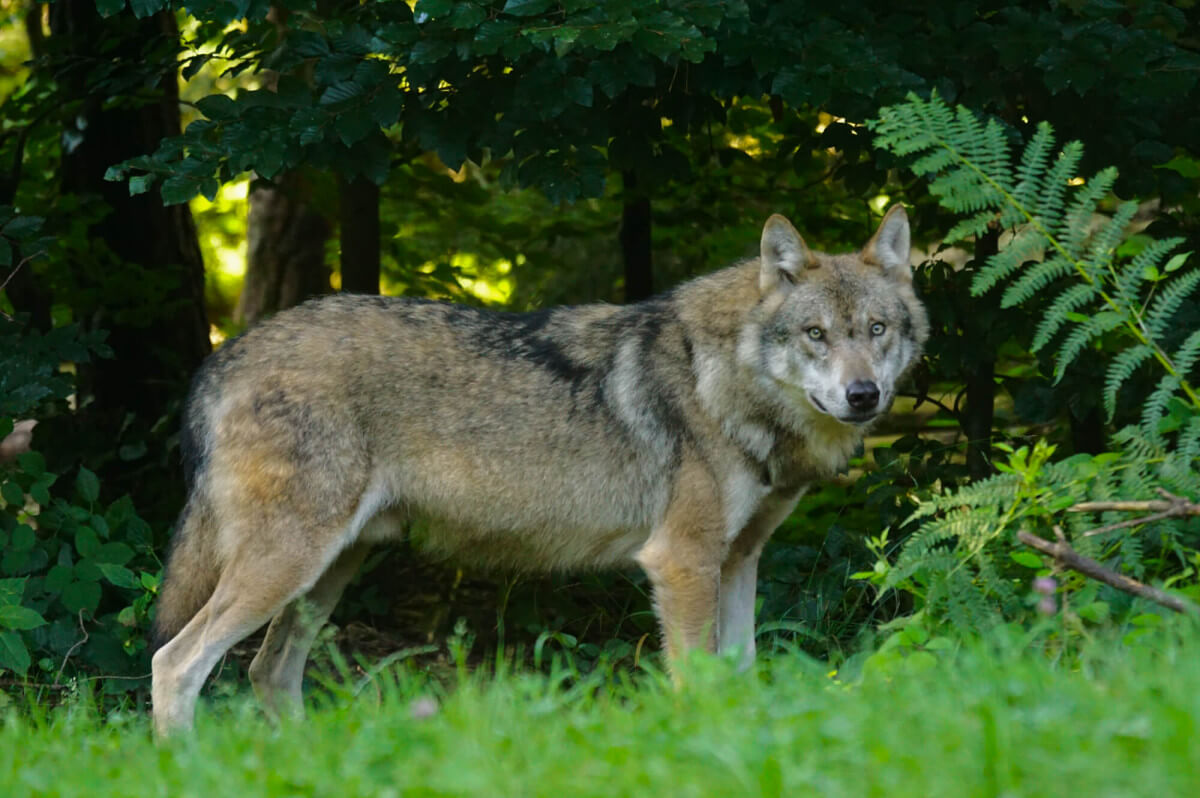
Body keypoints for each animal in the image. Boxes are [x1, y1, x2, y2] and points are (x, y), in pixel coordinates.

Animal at [150, 202, 926, 729]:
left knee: (268, 674)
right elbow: (696, 683)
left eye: (877, 330)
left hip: (326, 574)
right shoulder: (681, 562)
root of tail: (223, 355)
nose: (863, 395)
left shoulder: (738, 561)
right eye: (816, 335)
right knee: (175, 663)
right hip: (288, 567)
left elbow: (741, 676)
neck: (725, 380)